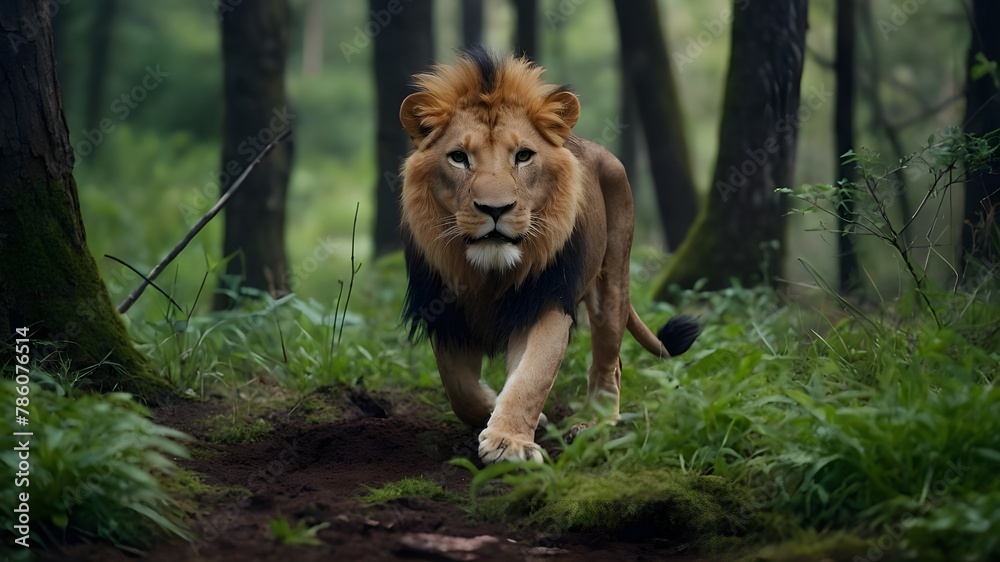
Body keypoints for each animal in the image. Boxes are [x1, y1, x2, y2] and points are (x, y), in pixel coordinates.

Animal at [398, 48, 700, 464]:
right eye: (458, 157)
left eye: (523, 156)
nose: (495, 209)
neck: (490, 272)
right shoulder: (445, 313)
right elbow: (459, 388)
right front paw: (498, 412)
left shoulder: (546, 299)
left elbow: (532, 375)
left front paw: (509, 442)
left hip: (613, 282)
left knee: (609, 361)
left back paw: (595, 425)